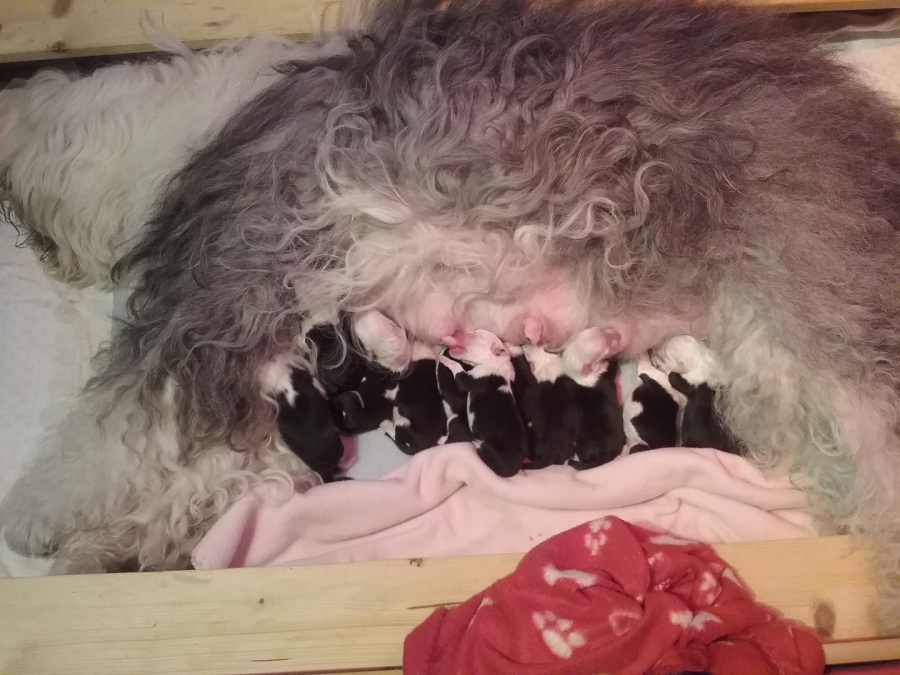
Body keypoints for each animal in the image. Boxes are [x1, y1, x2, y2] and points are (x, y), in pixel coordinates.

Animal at [3, 0, 900, 631]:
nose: (44, 255)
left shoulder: (221, 301)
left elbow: (109, 435)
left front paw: (40, 518)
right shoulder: (278, 378)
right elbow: (217, 476)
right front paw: (117, 548)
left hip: (829, 310)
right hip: (767, 356)